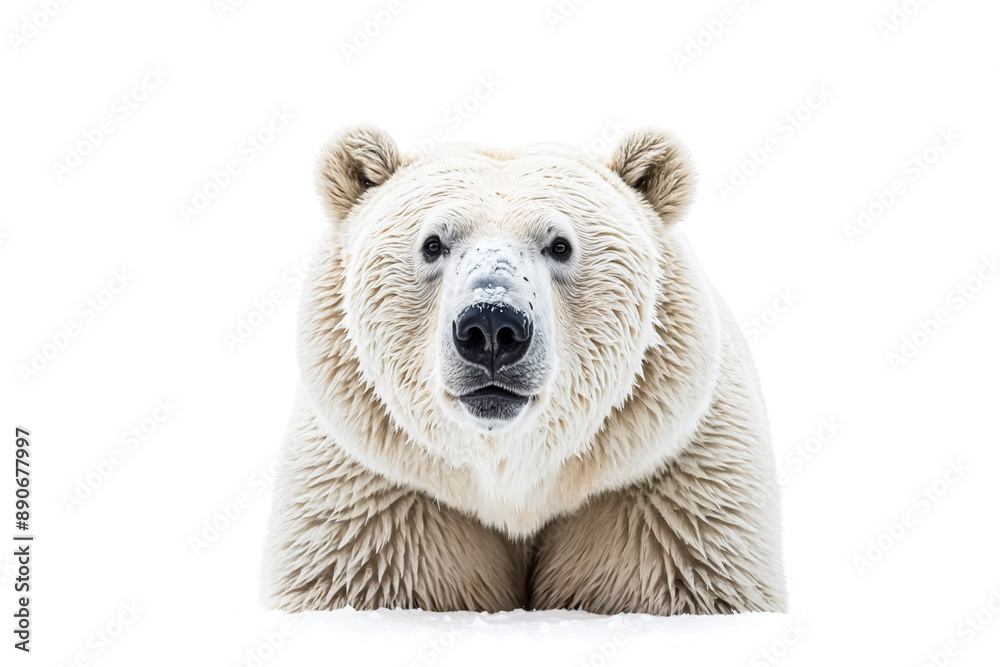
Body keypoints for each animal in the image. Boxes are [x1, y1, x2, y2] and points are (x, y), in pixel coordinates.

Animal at [261, 125, 787, 616]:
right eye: (432, 243)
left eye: (560, 244)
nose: (492, 327)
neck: (514, 483)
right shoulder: (380, 496)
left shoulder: (661, 489)